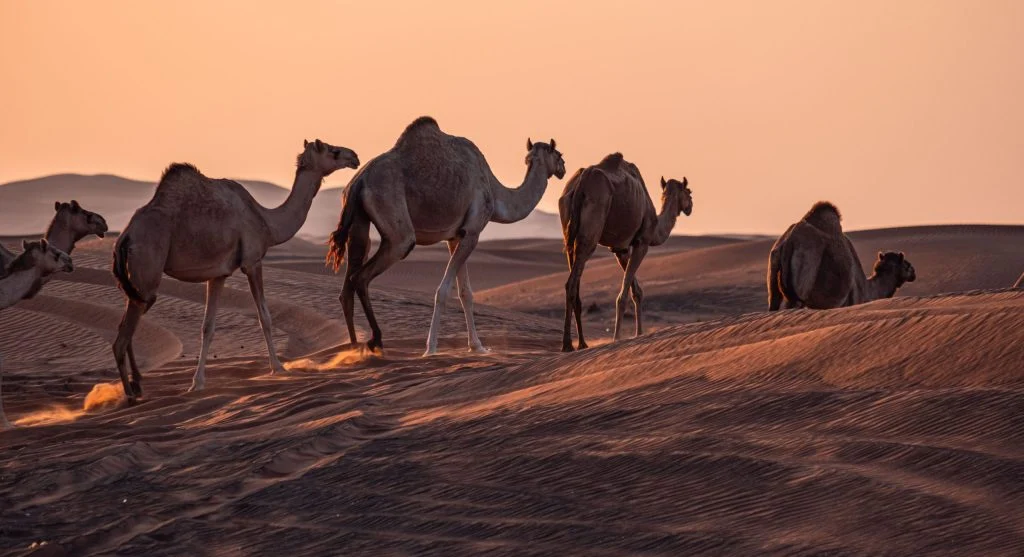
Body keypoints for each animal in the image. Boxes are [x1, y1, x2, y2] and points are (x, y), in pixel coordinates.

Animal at [112, 139, 358, 401]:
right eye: (333, 150)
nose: (354, 156)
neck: (266, 222)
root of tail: (124, 238)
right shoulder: (252, 262)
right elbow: (265, 317)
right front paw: (278, 367)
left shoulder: (218, 274)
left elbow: (207, 327)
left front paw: (197, 383)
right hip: (147, 273)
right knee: (121, 339)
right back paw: (130, 395)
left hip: (135, 285)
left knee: (126, 330)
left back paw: (137, 385)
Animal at [326, 116, 565, 356]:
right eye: (558, 154)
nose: (563, 169)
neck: (496, 192)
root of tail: (358, 181)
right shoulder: (473, 231)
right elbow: (443, 290)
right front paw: (431, 348)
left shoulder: (456, 236)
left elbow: (465, 292)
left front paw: (477, 346)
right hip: (396, 227)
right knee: (362, 276)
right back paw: (375, 339)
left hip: (358, 222)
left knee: (347, 286)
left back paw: (353, 347)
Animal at [558, 153, 693, 351]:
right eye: (689, 192)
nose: (690, 207)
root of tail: (581, 182)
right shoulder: (642, 242)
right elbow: (624, 294)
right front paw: (618, 337)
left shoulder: (620, 250)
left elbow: (636, 291)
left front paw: (638, 333)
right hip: (591, 227)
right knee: (572, 282)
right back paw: (568, 344)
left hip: (568, 230)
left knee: (573, 280)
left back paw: (581, 343)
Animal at [767, 201, 916, 310]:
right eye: (906, 265)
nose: (914, 273)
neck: (867, 290)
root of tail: (789, 242)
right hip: (802, 283)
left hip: (774, 271)